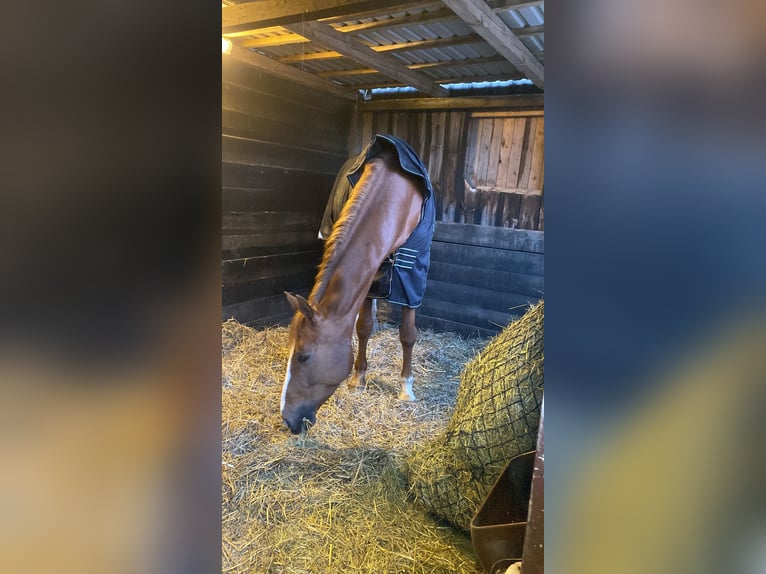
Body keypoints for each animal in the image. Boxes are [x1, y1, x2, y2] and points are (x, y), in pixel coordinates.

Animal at [280, 141, 432, 436]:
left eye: (303, 357)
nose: (287, 419)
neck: (394, 195)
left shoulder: (412, 273)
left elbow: (408, 334)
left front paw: (406, 387)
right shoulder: (370, 278)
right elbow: (363, 328)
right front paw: (359, 376)